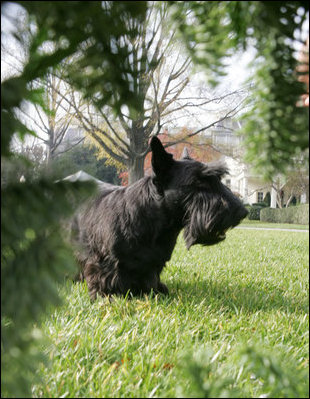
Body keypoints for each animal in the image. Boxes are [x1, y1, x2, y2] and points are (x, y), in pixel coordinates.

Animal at [71, 138, 248, 300]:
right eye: (198, 182)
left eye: (218, 179)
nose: (242, 212)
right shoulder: (106, 263)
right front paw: (109, 295)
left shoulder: (153, 264)